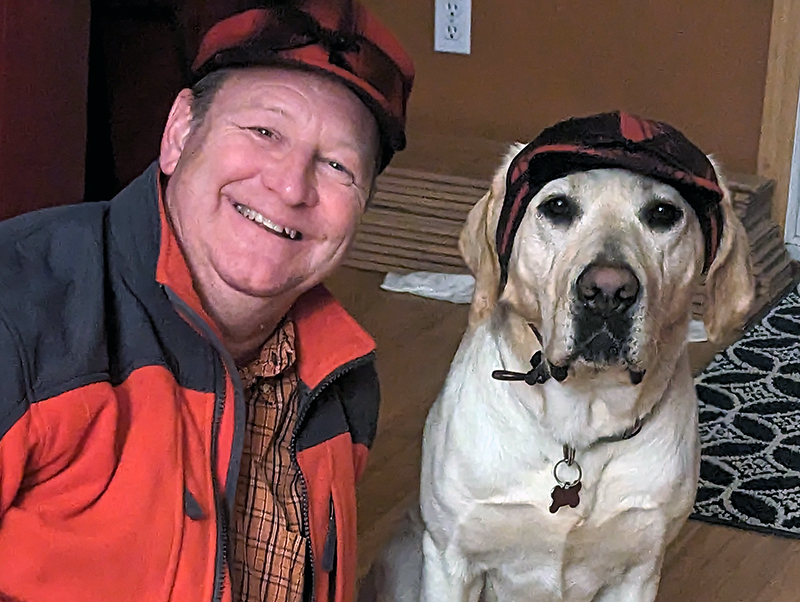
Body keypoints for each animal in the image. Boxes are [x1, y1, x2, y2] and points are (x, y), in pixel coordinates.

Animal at [360, 112, 752, 600]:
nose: (607, 292)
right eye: (558, 207)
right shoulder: (452, 560)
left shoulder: (639, 571)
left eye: (664, 213)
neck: (578, 427)